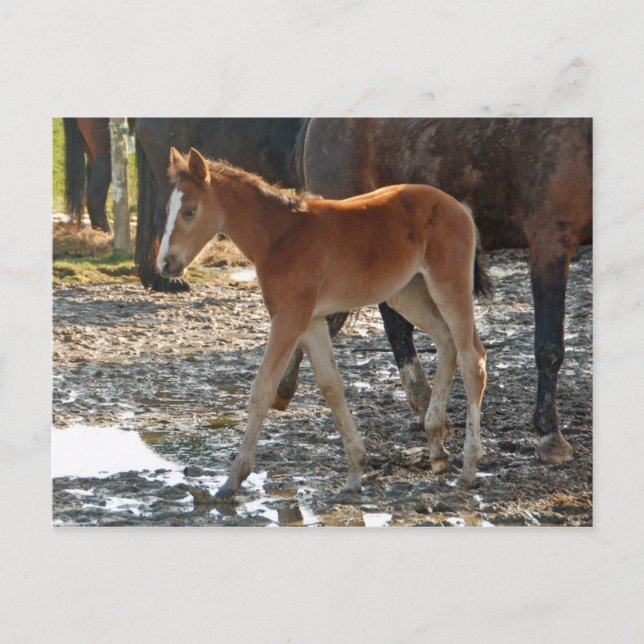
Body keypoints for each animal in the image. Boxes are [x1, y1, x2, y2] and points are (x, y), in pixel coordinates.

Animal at [156, 147, 489, 497]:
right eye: (168, 209)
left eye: (190, 212)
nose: (165, 264)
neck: (279, 237)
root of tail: (458, 207)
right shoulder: (312, 320)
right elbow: (331, 386)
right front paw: (355, 472)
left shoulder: (289, 317)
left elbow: (262, 390)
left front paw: (232, 480)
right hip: (408, 293)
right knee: (447, 343)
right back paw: (437, 448)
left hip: (448, 285)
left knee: (472, 359)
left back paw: (469, 467)